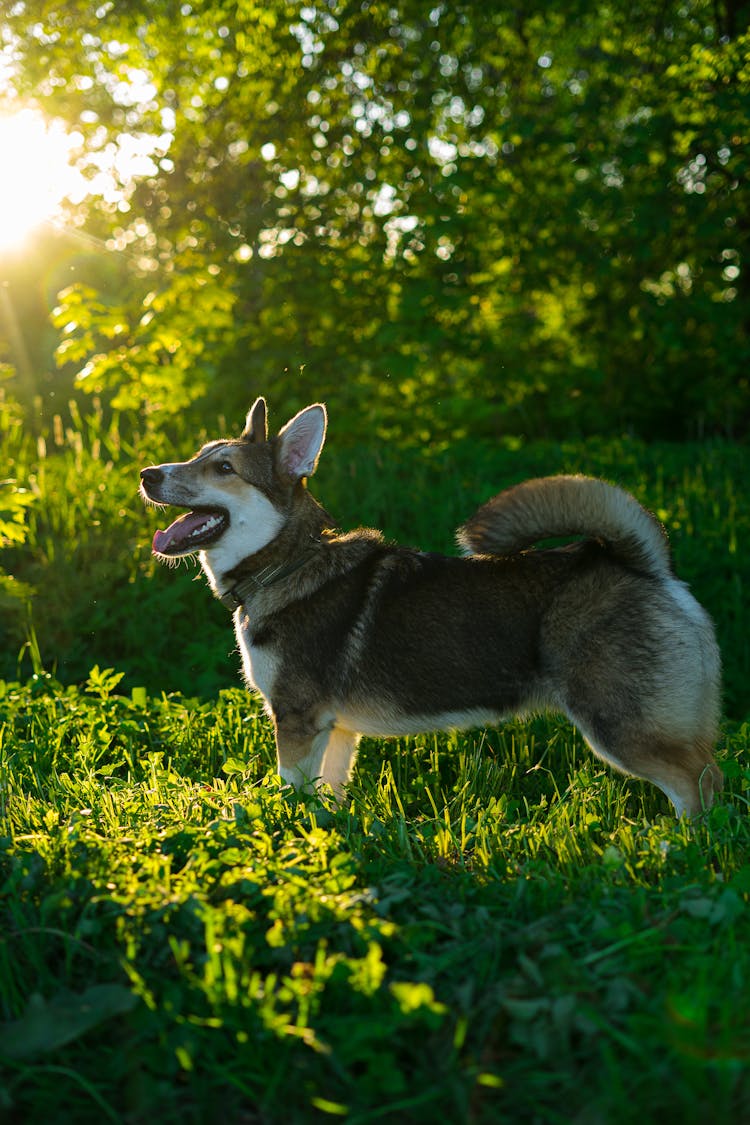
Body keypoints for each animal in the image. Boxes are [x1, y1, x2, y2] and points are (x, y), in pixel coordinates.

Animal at [139, 400, 719, 814]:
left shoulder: (298, 720)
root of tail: (644, 563)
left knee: (697, 785)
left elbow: (290, 795)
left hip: (620, 725)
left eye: (223, 467)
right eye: (198, 455)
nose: (147, 474)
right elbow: (327, 800)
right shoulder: (335, 730)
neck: (286, 564)